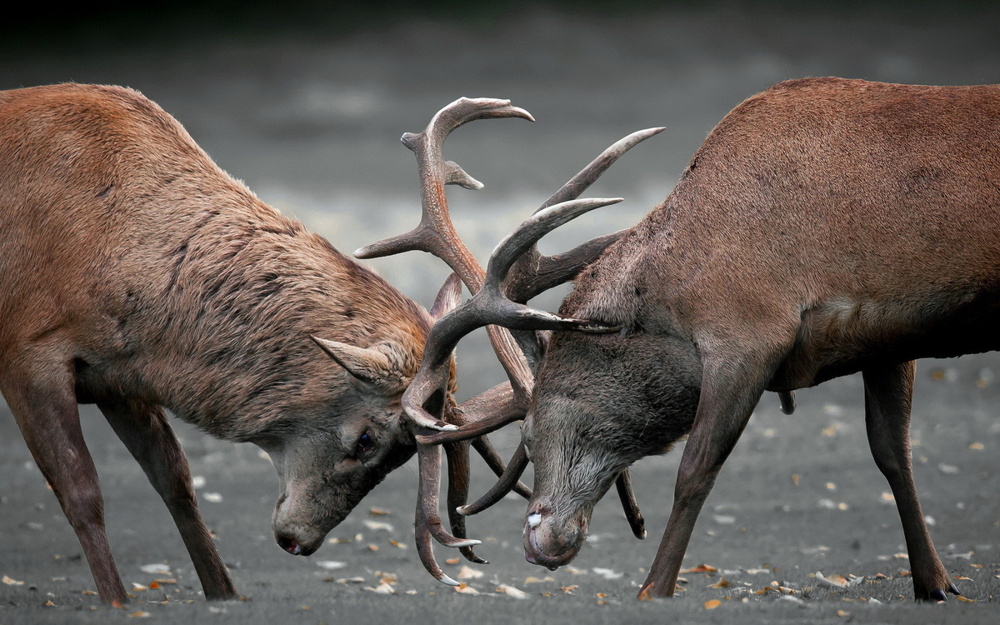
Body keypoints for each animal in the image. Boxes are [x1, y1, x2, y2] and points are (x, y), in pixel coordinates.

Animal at [398, 78, 1000, 600]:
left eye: (527, 431)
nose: (542, 541)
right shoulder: (888, 336)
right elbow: (893, 453)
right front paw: (935, 583)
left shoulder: (748, 333)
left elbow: (694, 470)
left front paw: (652, 588)